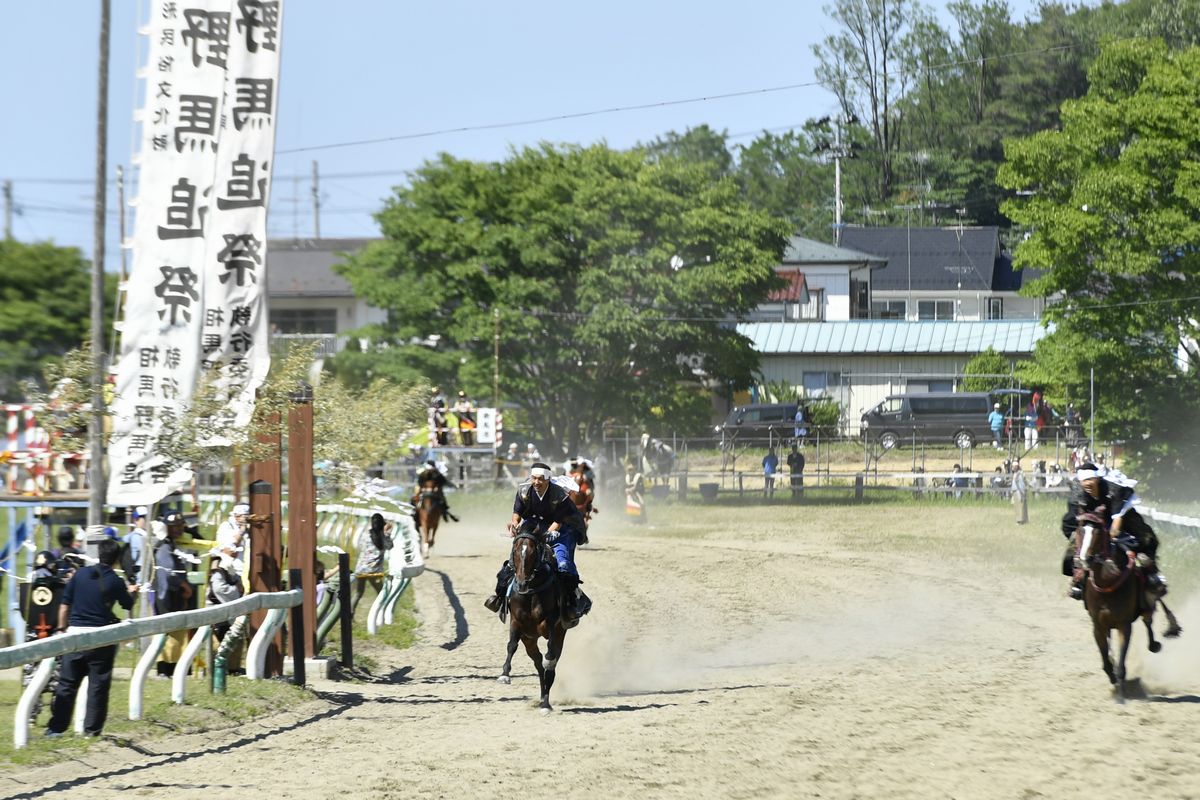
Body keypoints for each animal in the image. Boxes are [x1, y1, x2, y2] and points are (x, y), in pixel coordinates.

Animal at [499, 522, 568, 714]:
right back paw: (542, 696)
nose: (522, 583)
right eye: (515, 550)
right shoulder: (516, 622)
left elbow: (550, 653)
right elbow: (511, 645)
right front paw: (504, 675)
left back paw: (546, 703)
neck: (530, 592)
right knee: (537, 663)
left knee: (550, 664)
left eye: (532, 552)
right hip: (529, 640)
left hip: (560, 635)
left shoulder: (551, 623)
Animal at [1080, 513, 1180, 700]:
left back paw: (1155, 643)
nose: (1084, 559)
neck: (1107, 585)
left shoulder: (1124, 625)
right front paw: (1112, 677)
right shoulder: (1098, 626)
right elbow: (1106, 660)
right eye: (1079, 530)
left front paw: (1121, 692)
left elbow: (1121, 662)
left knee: (1148, 621)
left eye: (1098, 532)